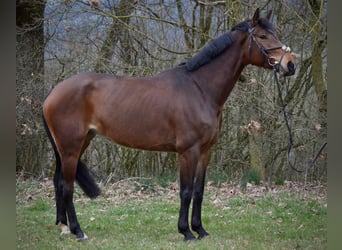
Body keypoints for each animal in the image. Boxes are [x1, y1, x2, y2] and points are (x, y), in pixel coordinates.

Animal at [42, 8, 294, 241]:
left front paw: (200, 230)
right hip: (71, 148)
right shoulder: (187, 151)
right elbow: (186, 191)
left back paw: (63, 226)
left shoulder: (205, 151)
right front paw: (186, 232)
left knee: (58, 182)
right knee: (67, 186)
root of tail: (52, 94)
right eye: (262, 36)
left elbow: (199, 191)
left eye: (274, 34)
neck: (200, 89)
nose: (290, 65)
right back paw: (78, 231)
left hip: (76, 145)